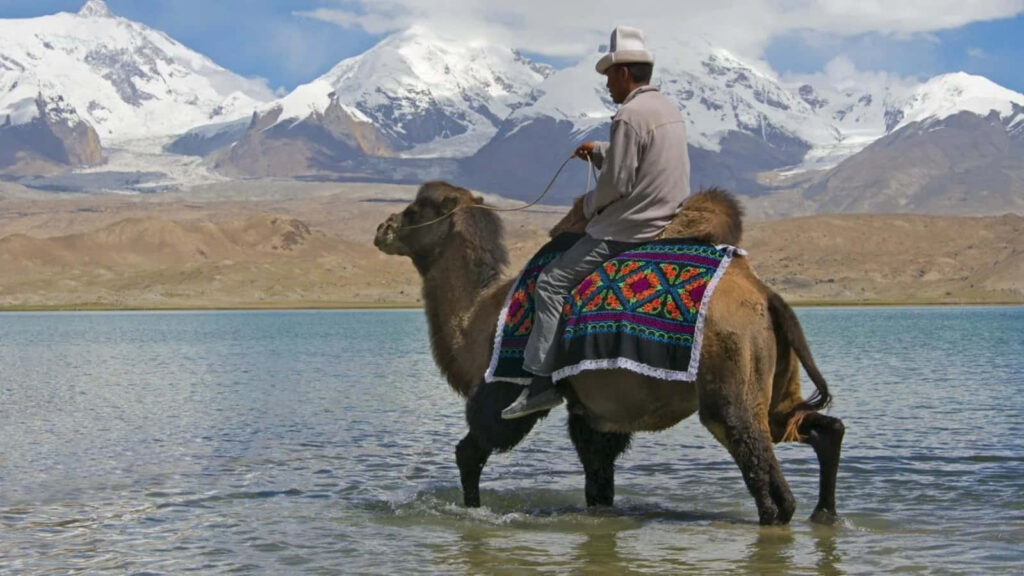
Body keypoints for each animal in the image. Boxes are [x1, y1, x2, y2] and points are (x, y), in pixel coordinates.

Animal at [374, 181, 845, 525]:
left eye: (418, 208)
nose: (383, 228)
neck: (479, 317)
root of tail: (766, 296)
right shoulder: (595, 413)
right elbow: (598, 483)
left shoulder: (502, 388)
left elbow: (470, 450)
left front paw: (472, 511)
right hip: (774, 375)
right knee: (815, 428)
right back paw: (824, 513)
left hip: (728, 379)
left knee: (765, 477)